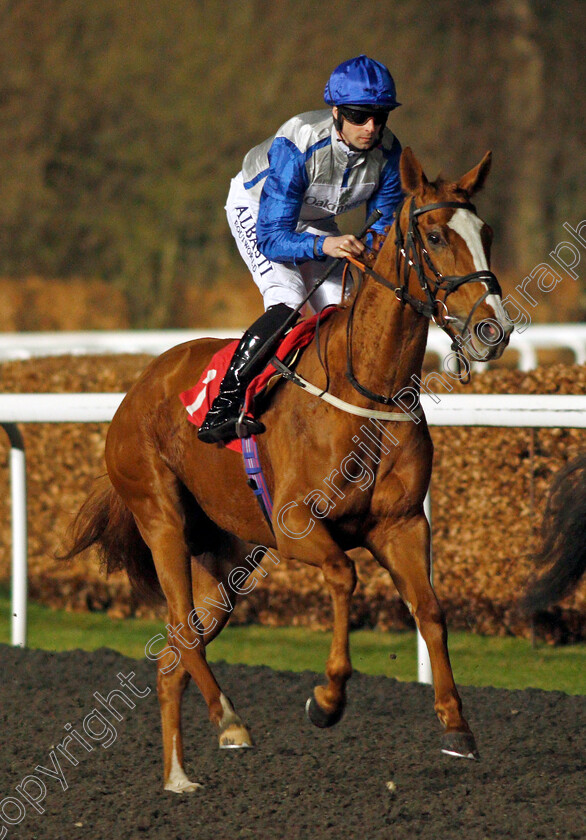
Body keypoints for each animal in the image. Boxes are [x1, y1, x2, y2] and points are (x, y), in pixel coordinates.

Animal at [65, 148, 512, 792]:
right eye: (434, 236)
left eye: (487, 234)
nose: (492, 329)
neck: (366, 388)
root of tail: (139, 385)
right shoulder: (294, 526)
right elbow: (345, 577)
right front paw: (327, 699)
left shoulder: (402, 524)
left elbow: (429, 609)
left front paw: (457, 725)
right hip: (161, 519)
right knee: (182, 631)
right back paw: (229, 721)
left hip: (227, 559)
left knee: (176, 649)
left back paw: (178, 777)